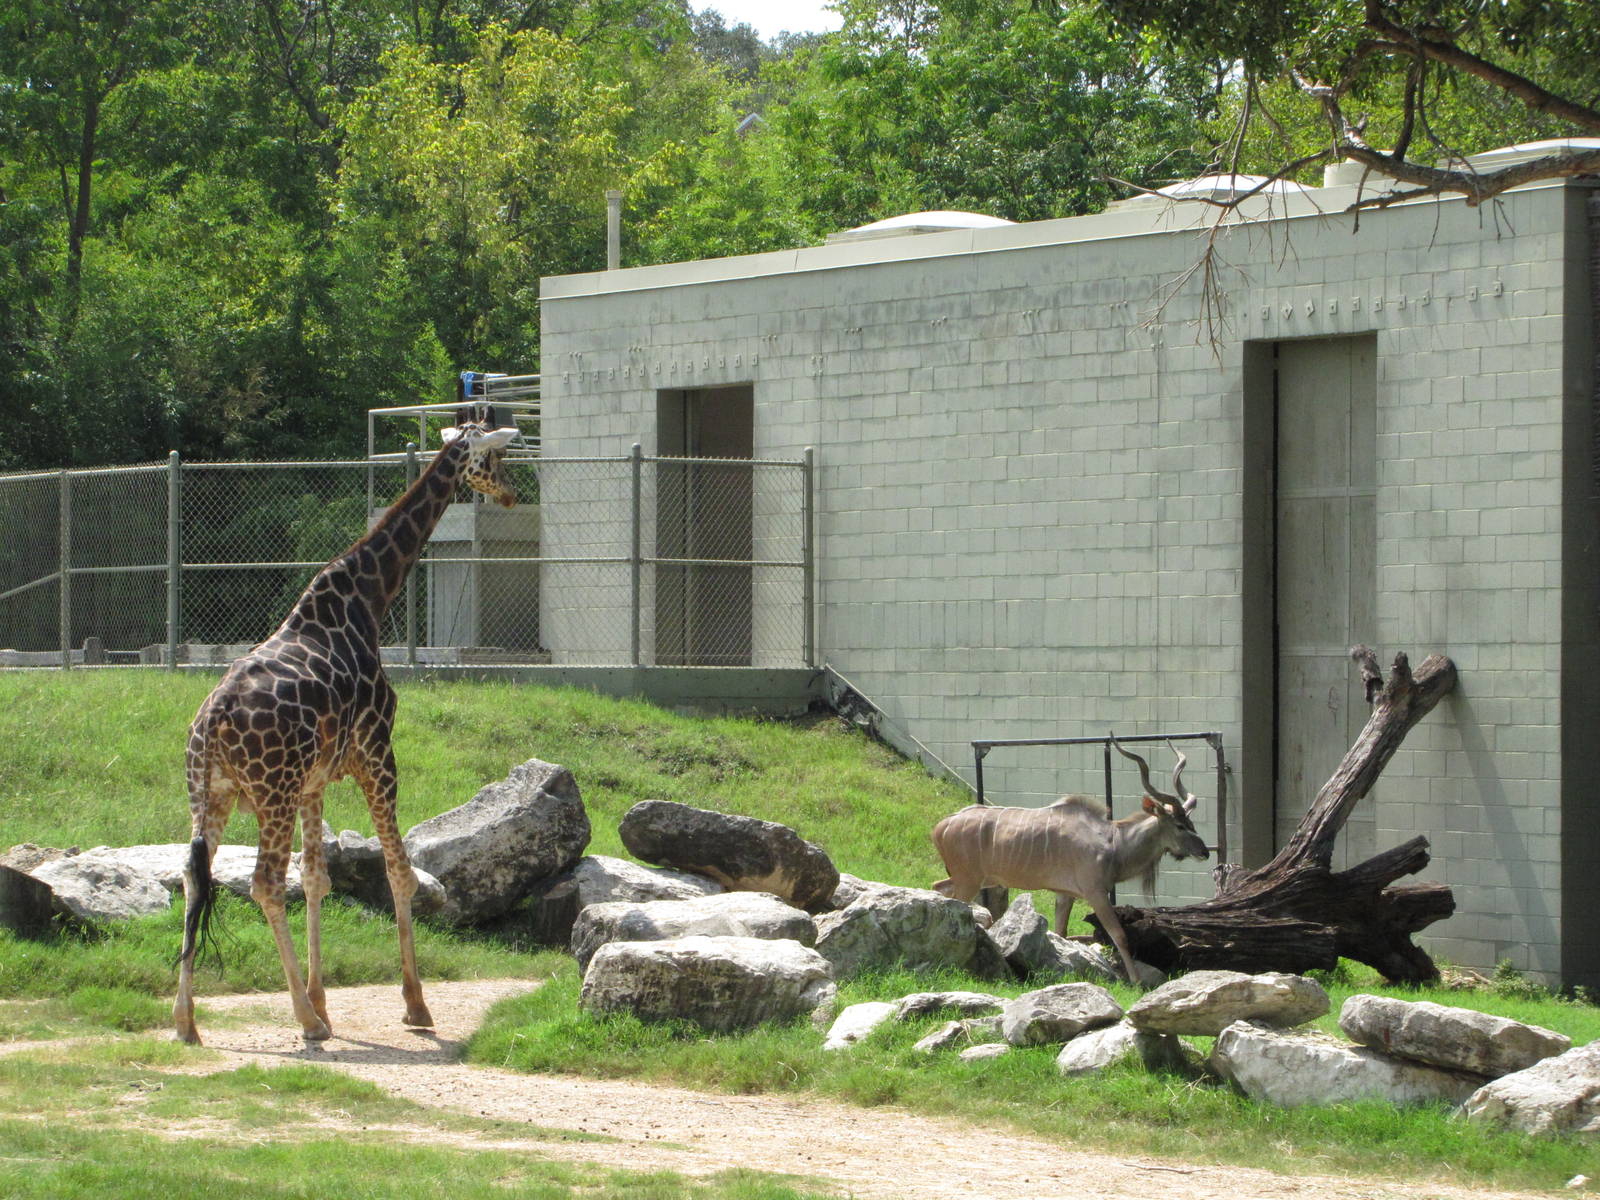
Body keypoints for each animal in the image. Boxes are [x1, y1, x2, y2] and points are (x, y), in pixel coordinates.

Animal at [173, 410, 520, 1044]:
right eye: (496, 458)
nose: (509, 495)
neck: (368, 598)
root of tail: (211, 723)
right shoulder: (377, 755)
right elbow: (400, 874)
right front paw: (414, 1005)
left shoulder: (314, 782)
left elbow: (316, 879)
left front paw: (324, 999)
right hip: (271, 793)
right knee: (262, 884)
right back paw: (305, 1023)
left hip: (211, 792)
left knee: (194, 875)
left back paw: (186, 1022)